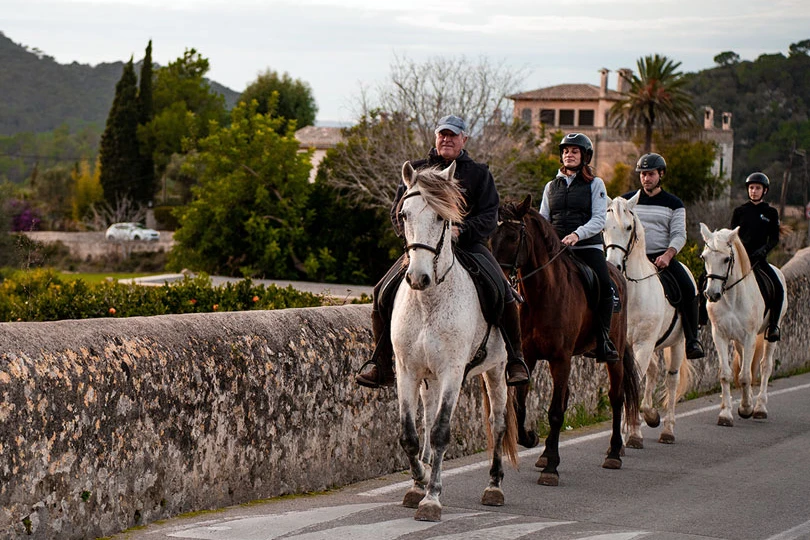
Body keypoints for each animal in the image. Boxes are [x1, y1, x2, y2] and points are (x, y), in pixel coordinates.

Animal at [390, 160, 518, 522]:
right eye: (403, 214)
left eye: (440, 217)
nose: (418, 278)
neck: (429, 301)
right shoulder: (407, 371)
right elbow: (410, 434)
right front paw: (418, 482)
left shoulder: (452, 372)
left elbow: (440, 432)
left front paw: (432, 499)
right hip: (429, 380)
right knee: (427, 419)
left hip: (497, 370)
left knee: (498, 424)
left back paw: (494, 487)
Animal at [491, 194, 640, 486]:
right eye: (491, 236)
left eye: (513, 236)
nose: (500, 284)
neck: (541, 294)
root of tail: (617, 274)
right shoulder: (528, 357)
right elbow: (521, 405)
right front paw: (532, 440)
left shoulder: (560, 359)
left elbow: (556, 412)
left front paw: (551, 469)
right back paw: (546, 454)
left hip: (613, 356)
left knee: (616, 398)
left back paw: (614, 452)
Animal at [604, 193, 694, 447]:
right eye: (604, 227)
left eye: (628, 227)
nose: (614, 266)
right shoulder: (622, 347)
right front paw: (632, 427)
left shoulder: (643, 345)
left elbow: (633, 383)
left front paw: (633, 431)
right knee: (653, 372)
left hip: (678, 344)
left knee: (672, 380)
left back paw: (667, 431)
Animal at [699, 223, 788, 426]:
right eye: (704, 257)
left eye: (726, 259)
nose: (712, 294)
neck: (731, 297)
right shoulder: (720, 335)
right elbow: (727, 374)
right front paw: (726, 413)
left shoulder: (749, 336)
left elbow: (746, 376)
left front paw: (747, 408)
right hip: (738, 340)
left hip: (771, 333)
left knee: (765, 366)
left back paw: (760, 407)